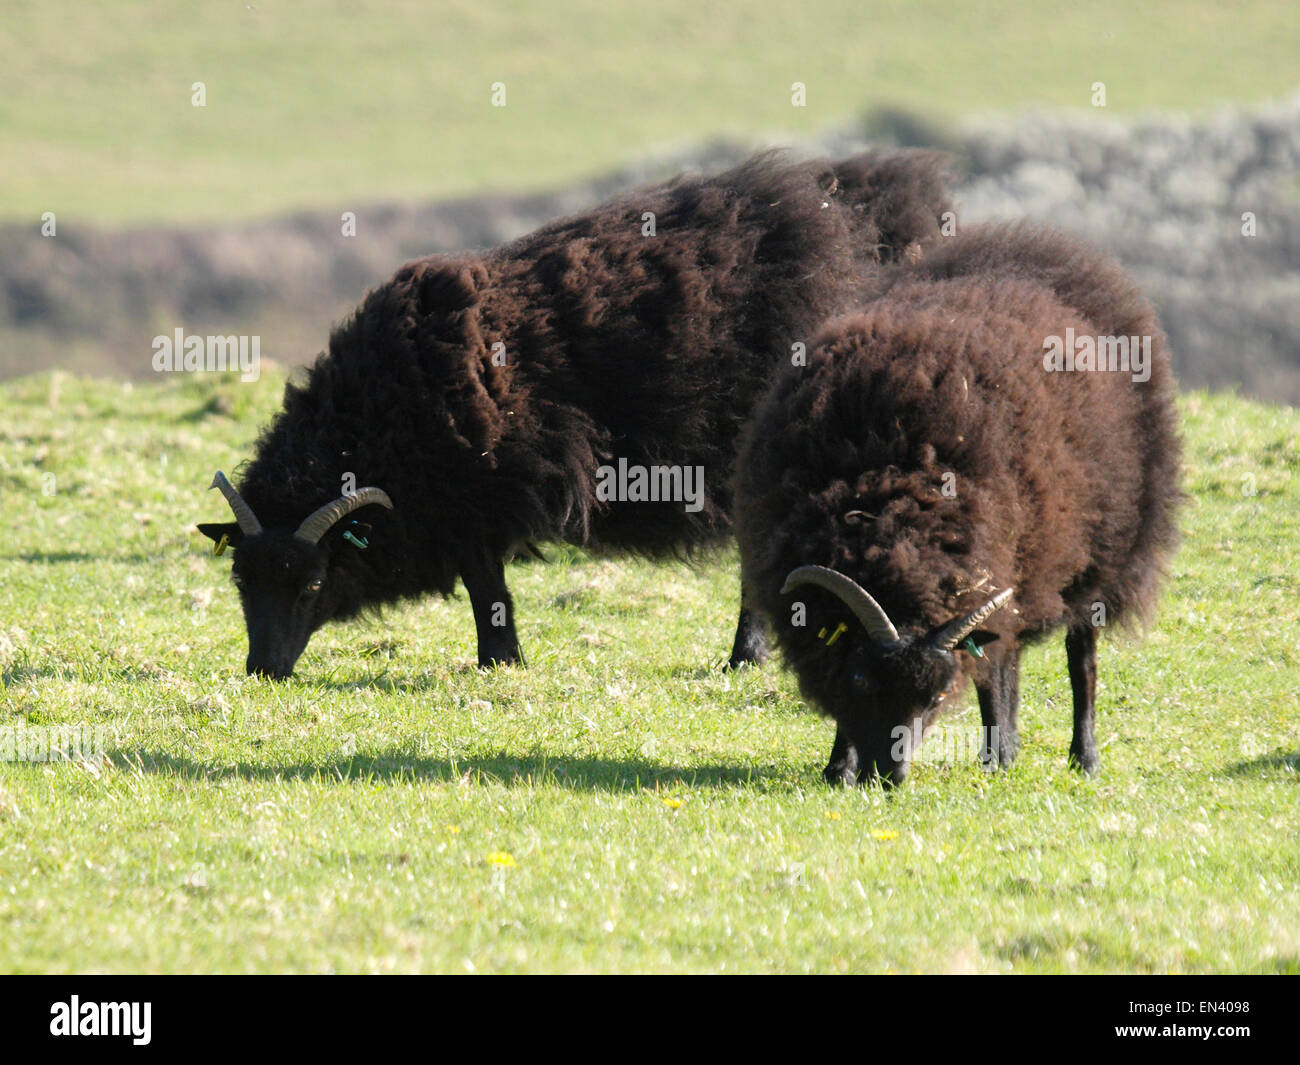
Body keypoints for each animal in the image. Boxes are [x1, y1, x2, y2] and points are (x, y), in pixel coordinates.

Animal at [197, 150, 954, 677]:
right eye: (242, 580)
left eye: (312, 581)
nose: (263, 670)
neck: (382, 413)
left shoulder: (481, 498)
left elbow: (487, 586)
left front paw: (499, 662)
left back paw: (746, 656)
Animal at [733, 222, 1182, 785]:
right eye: (861, 680)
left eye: (938, 695)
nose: (891, 777)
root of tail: (1053, 250)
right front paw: (839, 767)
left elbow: (999, 673)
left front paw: (999, 753)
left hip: (1092, 559)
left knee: (1078, 660)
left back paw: (1076, 756)